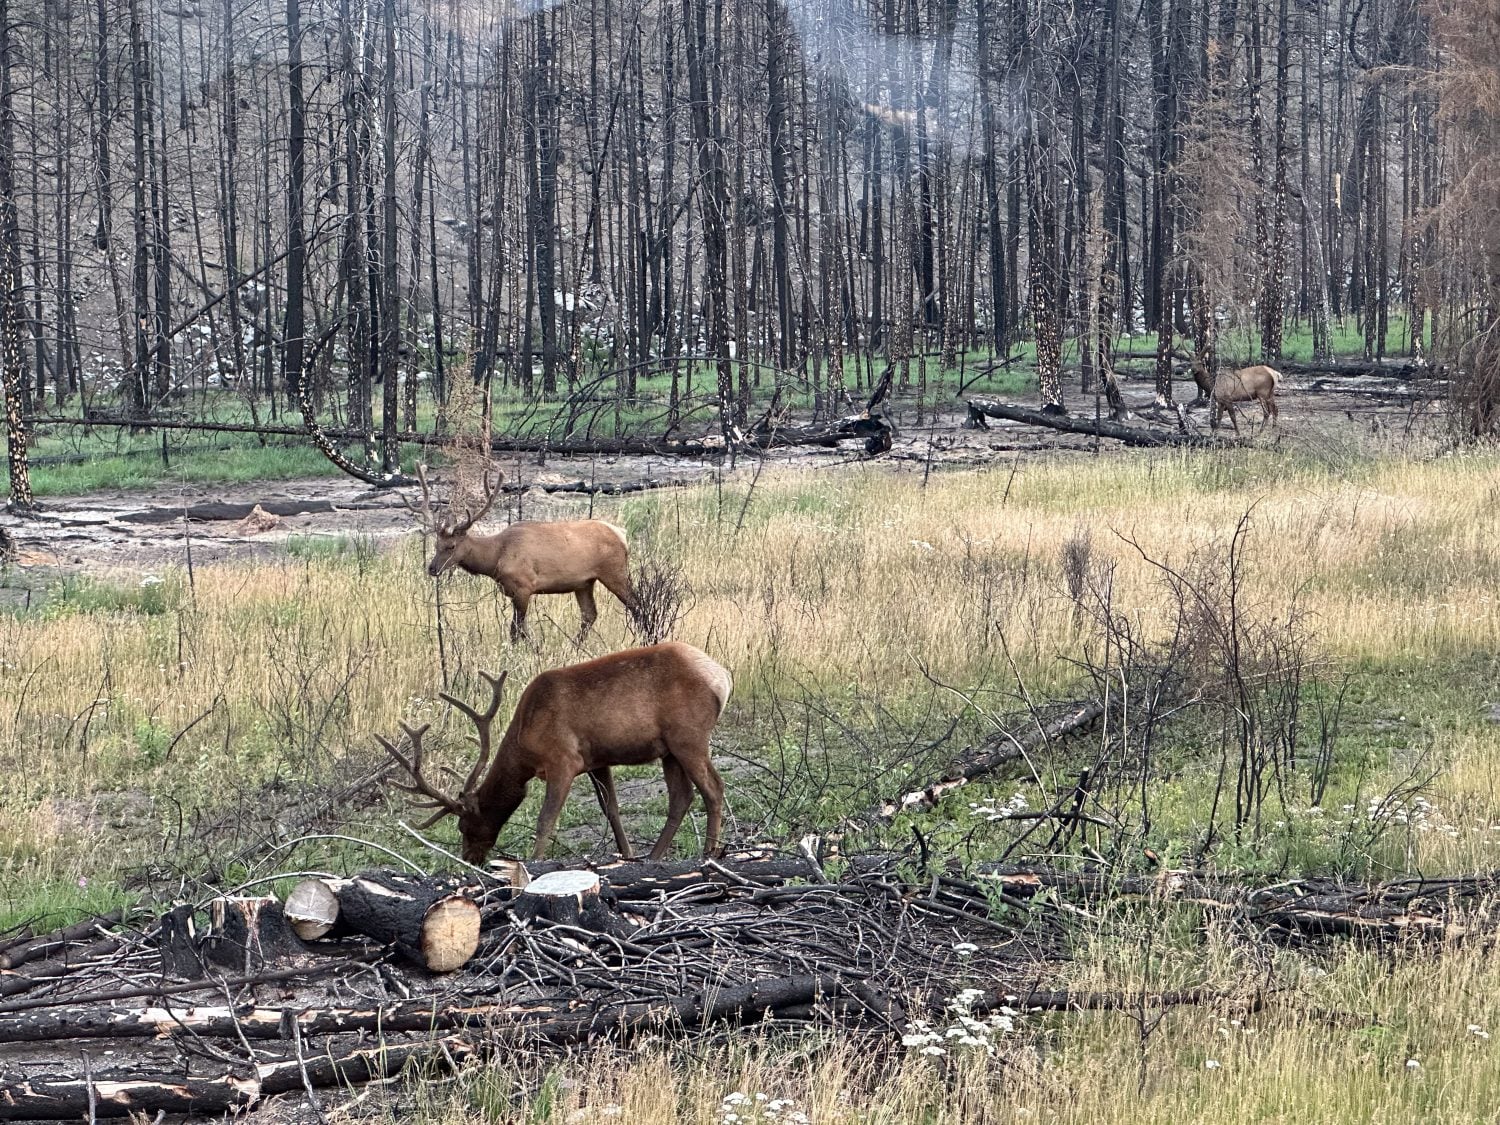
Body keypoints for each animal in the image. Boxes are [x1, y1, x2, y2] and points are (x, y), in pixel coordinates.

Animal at [376, 642, 731, 863]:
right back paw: (655, 856)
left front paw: (535, 862)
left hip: (688, 736)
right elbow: (611, 810)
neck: (525, 743)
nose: (470, 858)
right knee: (682, 797)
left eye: (464, 826)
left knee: (713, 788)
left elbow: (546, 819)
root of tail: (723, 678)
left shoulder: (563, 759)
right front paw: (628, 855)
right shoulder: (596, 760)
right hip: (669, 749)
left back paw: (709, 853)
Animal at [409, 465, 638, 644]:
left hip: (614, 571)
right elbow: (521, 630)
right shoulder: (513, 591)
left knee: (636, 604)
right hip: (584, 582)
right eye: (436, 544)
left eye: (452, 546)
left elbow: (515, 630)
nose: (432, 568)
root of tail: (622, 535)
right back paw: (575, 645)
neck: (495, 558)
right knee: (589, 615)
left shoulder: (524, 586)